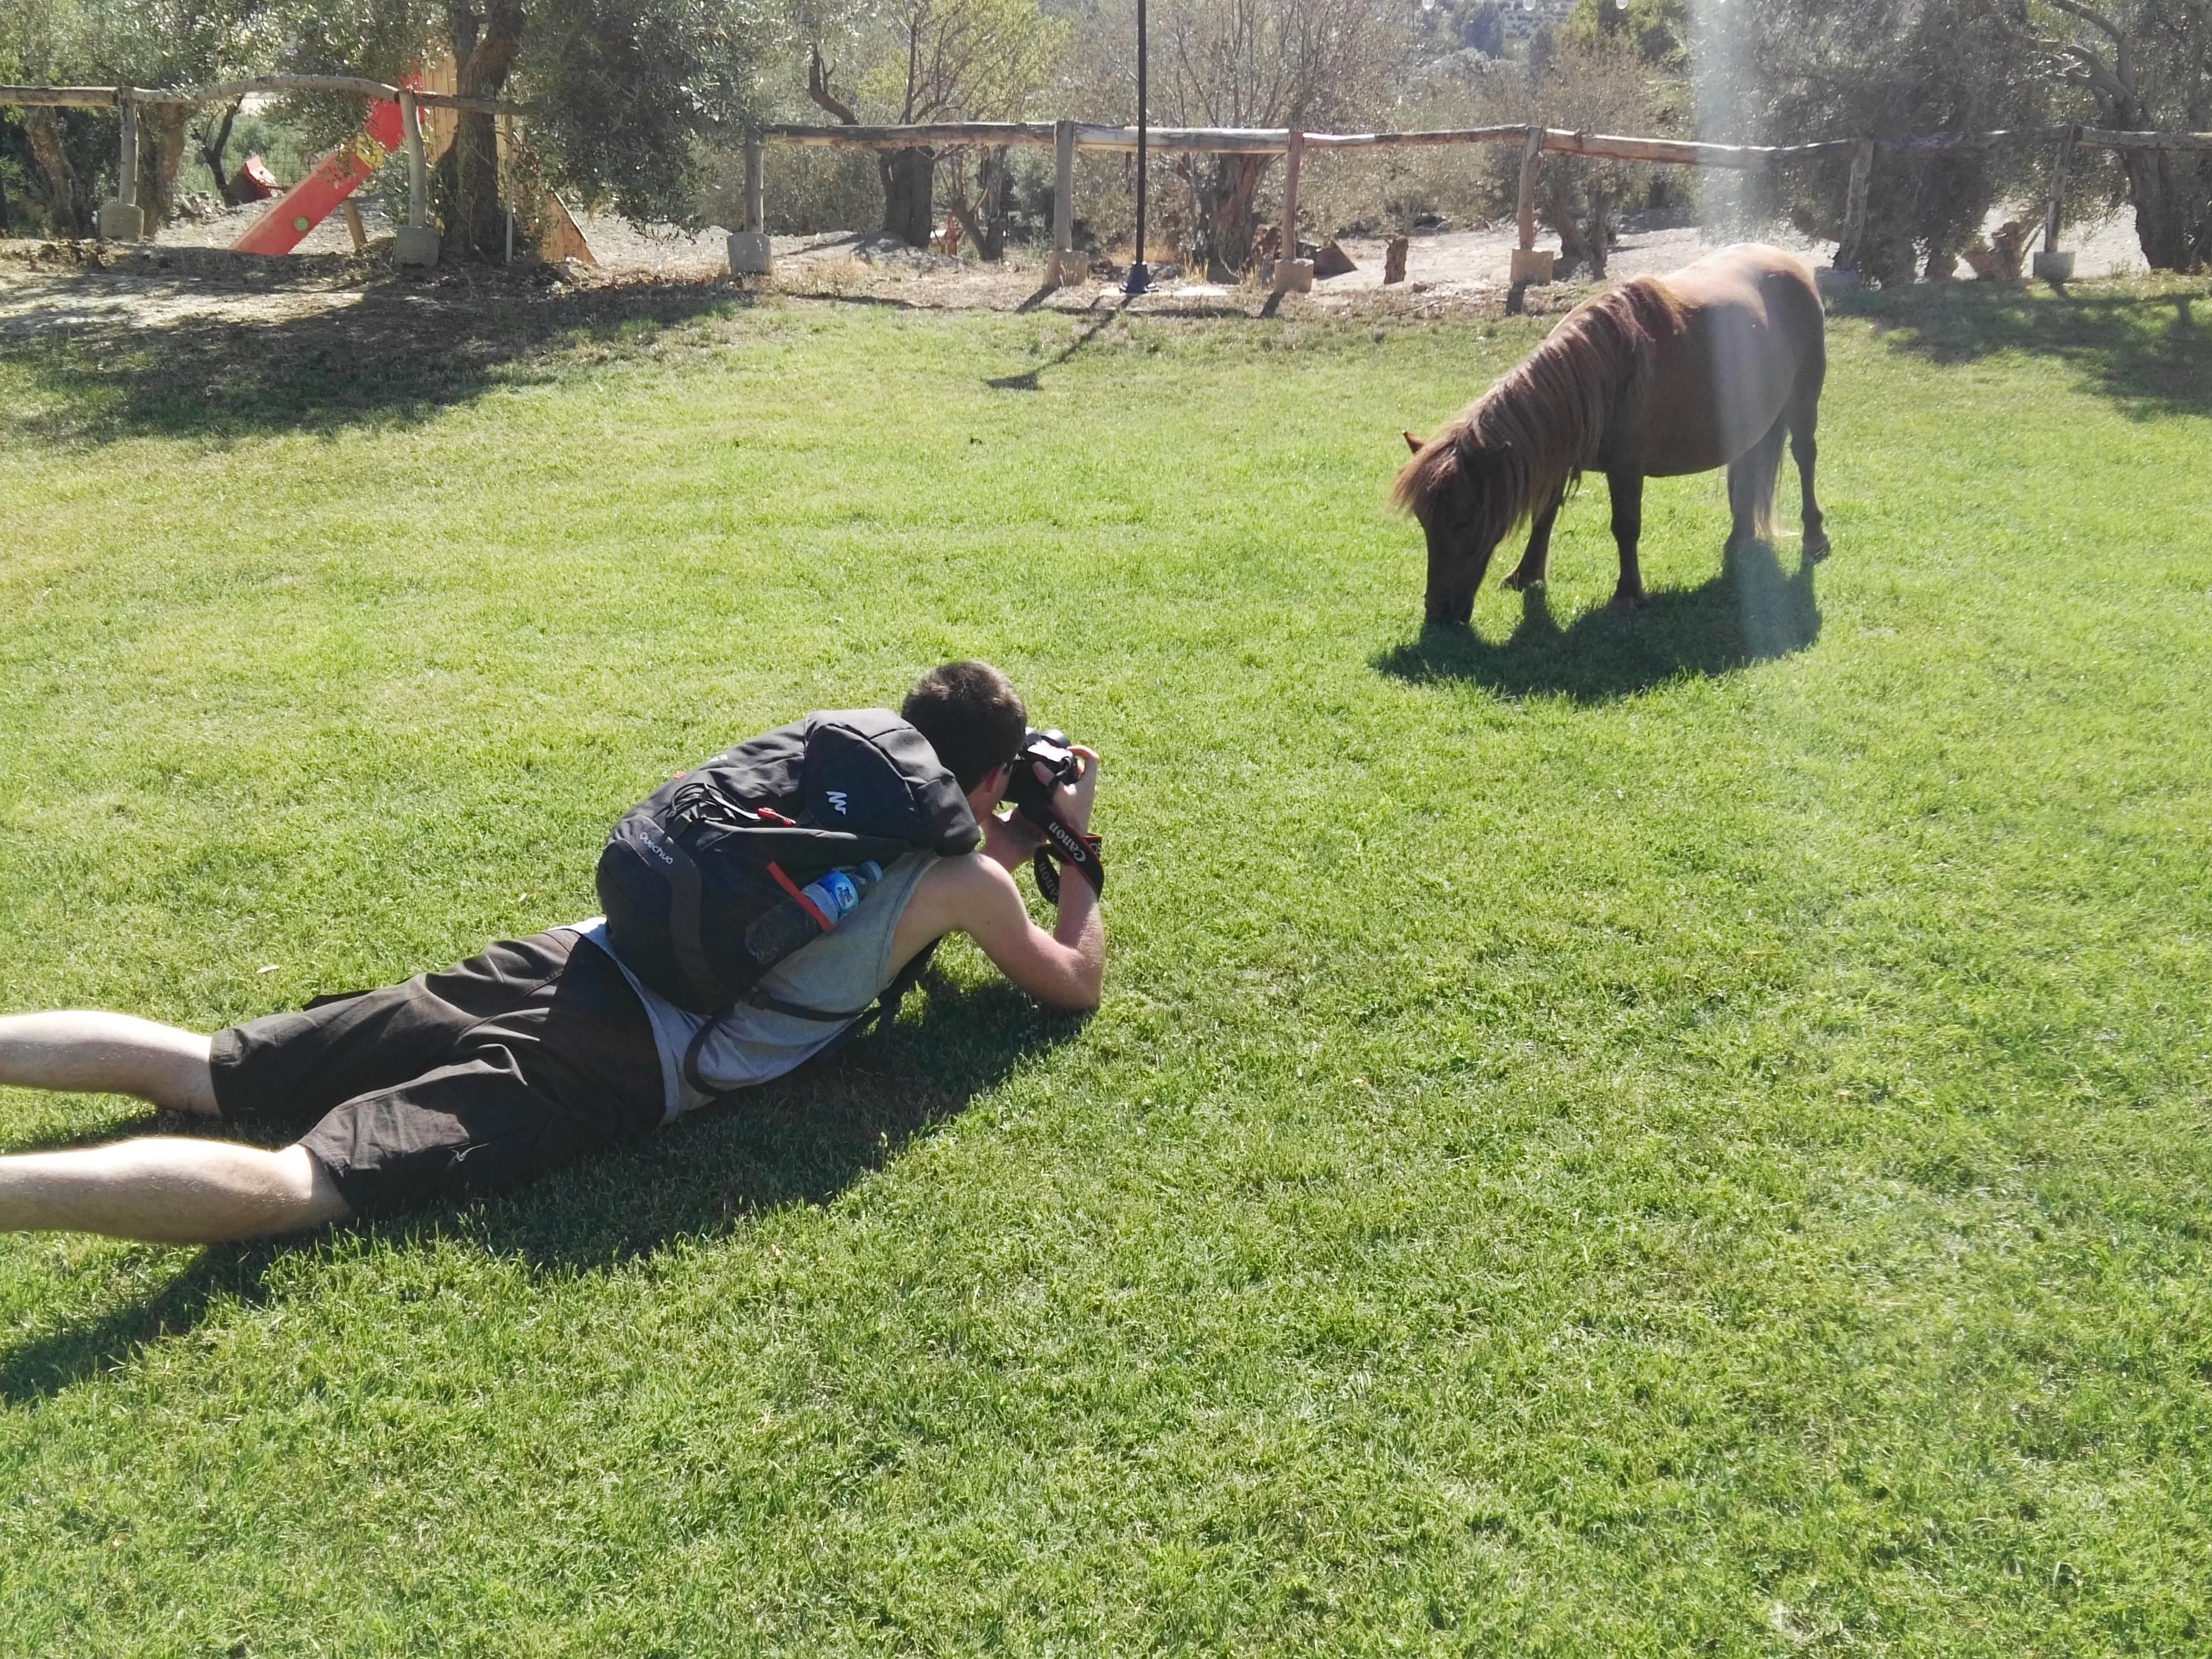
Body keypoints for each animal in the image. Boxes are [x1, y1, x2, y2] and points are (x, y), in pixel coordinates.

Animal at [1398, 246, 1831, 628]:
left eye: (1463, 521)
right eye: (1423, 522)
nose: (1437, 612)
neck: (1600, 376)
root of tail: (1790, 263)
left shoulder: (1626, 470)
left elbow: (1625, 526)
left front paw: (1628, 593)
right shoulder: (1560, 458)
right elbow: (1544, 515)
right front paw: (1527, 574)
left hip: (1803, 401)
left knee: (1805, 457)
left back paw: (1814, 537)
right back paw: (1739, 539)